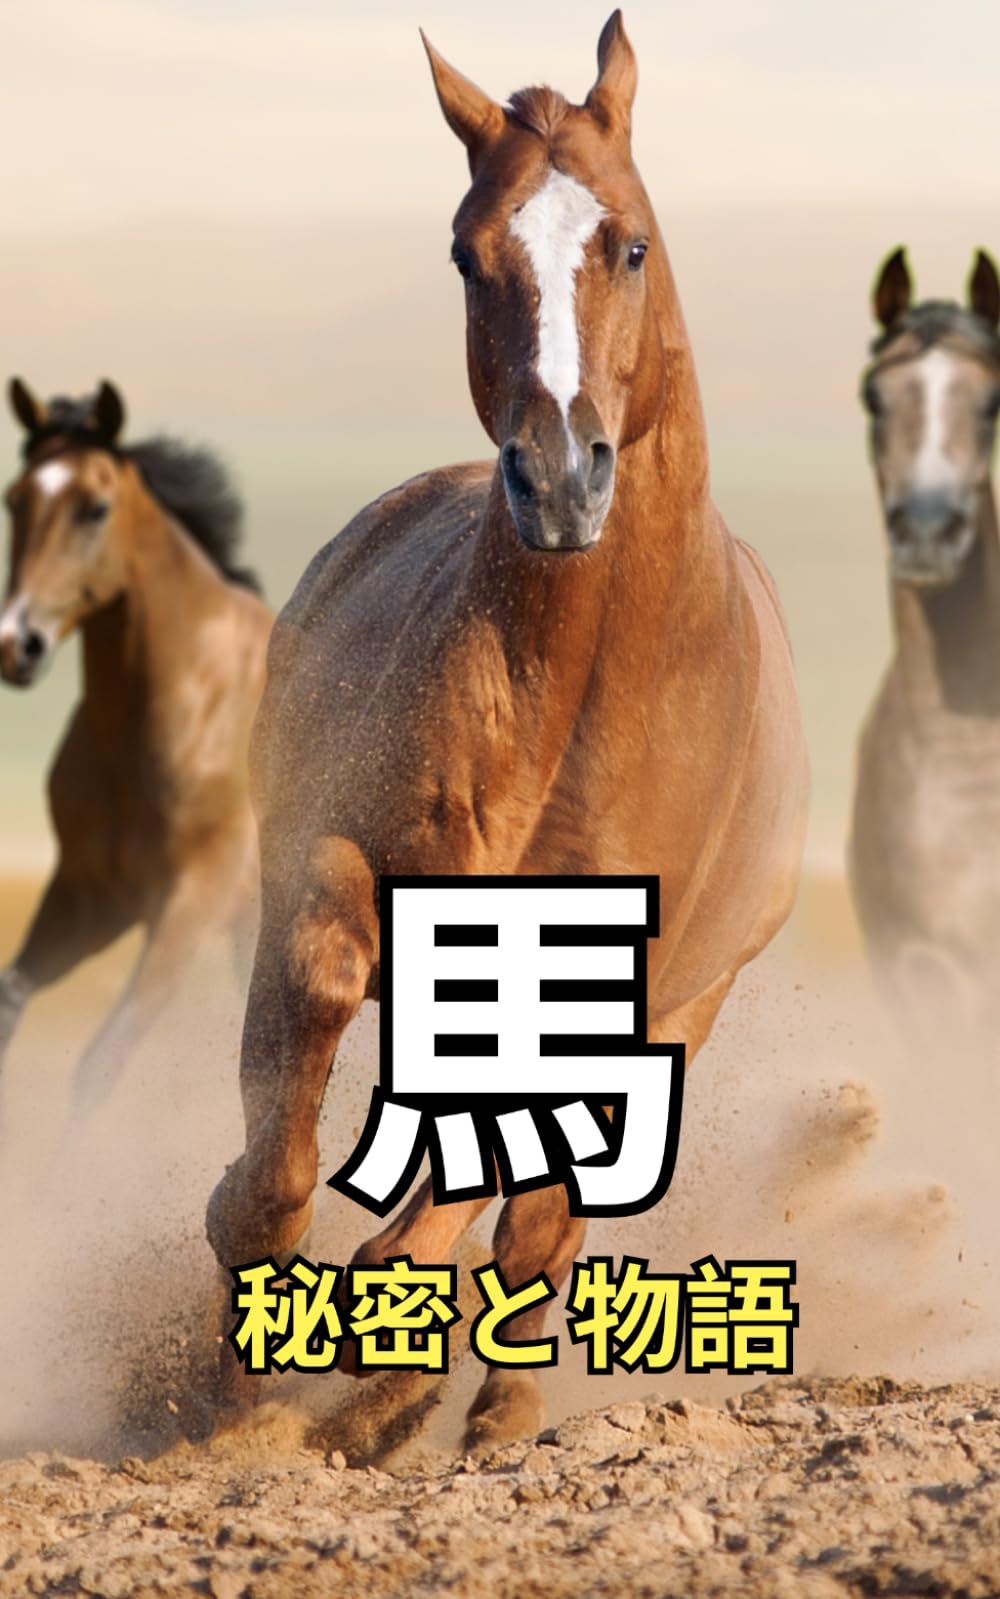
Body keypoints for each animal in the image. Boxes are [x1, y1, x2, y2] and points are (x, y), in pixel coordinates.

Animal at [0, 379, 272, 1113]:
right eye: (15, 499)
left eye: (94, 508)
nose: (17, 644)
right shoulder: (91, 896)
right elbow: (11, 1001)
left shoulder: (190, 902)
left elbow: (101, 1062)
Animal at [206, 11, 808, 1454]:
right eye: (468, 255)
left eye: (628, 243)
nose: (559, 479)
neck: (583, 687)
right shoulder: (337, 866)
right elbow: (311, 1021)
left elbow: (500, 1201)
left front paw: (390, 1360)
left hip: (684, 1006)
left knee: (536, 1223)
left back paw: (478, 1411)